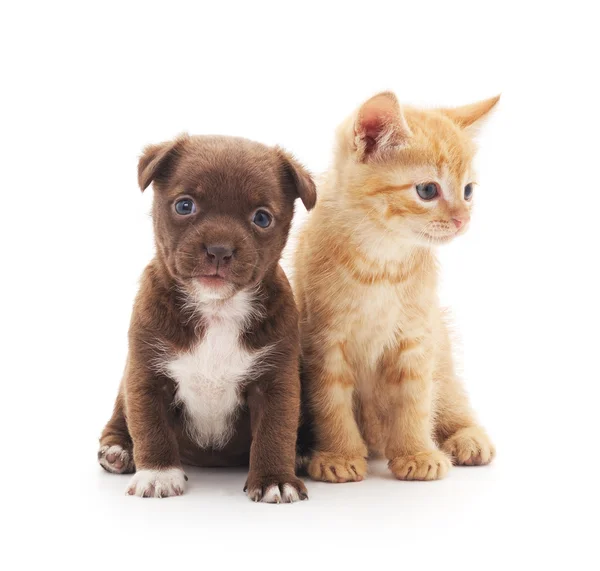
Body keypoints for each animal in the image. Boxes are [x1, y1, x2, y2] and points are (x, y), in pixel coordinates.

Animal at [98, 133, 316, 500]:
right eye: (185, 206)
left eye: (262, 218)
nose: (219, 249)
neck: (217, 308)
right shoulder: (147, 375)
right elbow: (150, 426)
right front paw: (157, 474)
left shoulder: (275, 380)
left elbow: (275, 431)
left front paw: (275, 478)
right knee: (120, 414)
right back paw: (119, 450)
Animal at [294, 91, 496, 480]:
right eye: (428, 190)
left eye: (468, 191)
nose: (462, 220)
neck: (381, 265)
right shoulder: (323, 340)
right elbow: (331, 401)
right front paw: (339, 455)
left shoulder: (417, 338)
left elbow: (414, 400)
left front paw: (417, 453)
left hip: (442, 351)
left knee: (451, 398)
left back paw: (468, 437)